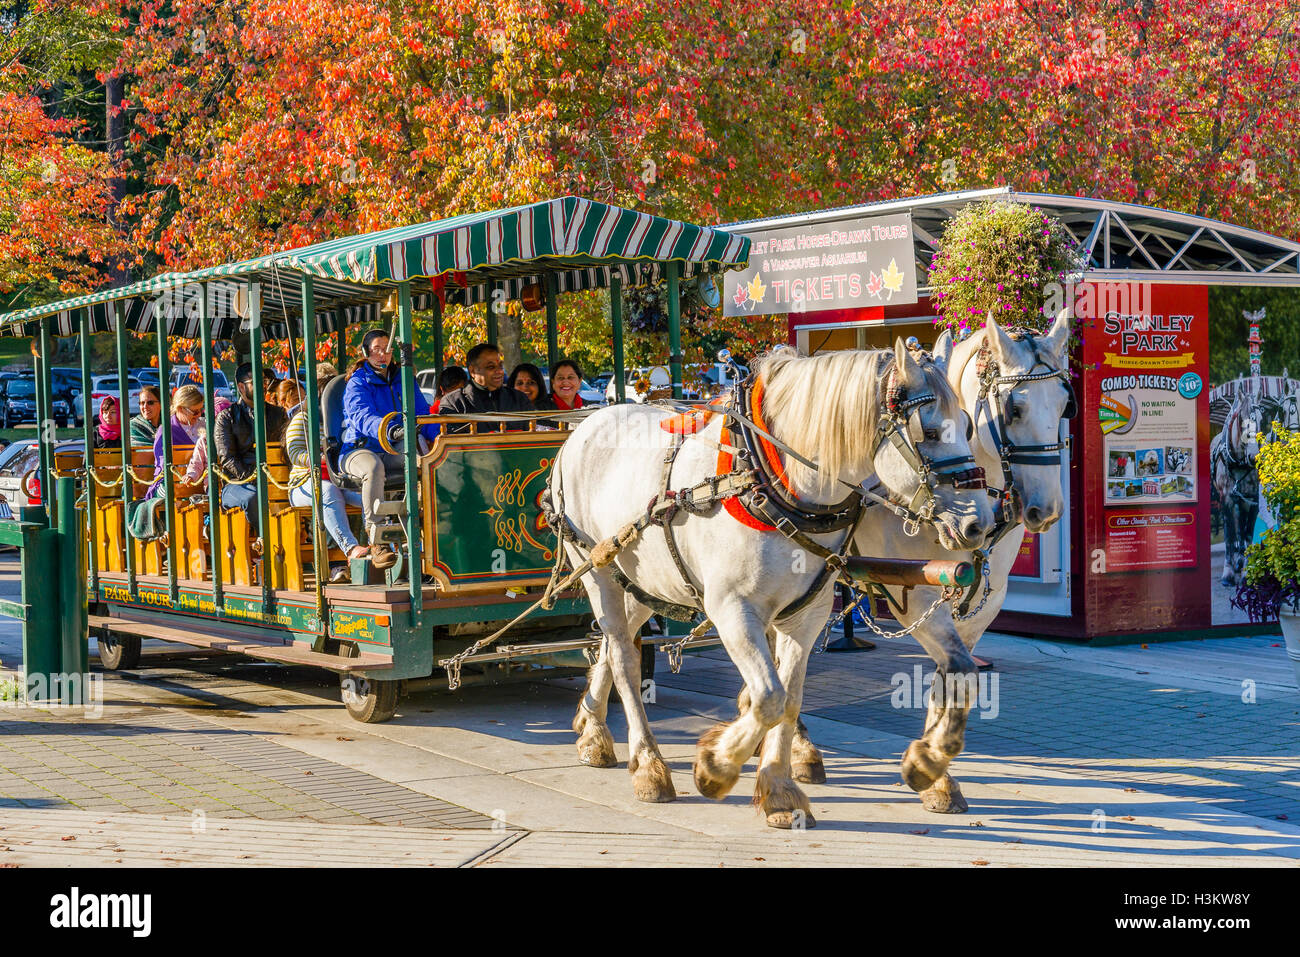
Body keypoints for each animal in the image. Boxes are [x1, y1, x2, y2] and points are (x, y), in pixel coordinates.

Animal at [551, 340, 993, 826]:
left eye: (969, 426)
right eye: (929, 432)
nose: (978, 524)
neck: (770, 482)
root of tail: (587, 424)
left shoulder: (808, 613)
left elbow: (791, 698)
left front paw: (781, 789)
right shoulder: (732, 609)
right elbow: (768, 697)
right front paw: (716, 768)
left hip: (642, 580)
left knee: (617, 645)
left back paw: (593, 732)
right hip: (597, 572)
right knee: (625, 661)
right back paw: (648, 765)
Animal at [759, 310, 1071, 811]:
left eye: (1064, 406)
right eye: (1014, 409)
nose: (1048, 510)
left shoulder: (982, 604)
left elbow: (954, 677)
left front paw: (933, 768)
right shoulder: (914, 597)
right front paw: (931, 769)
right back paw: (801, 749)